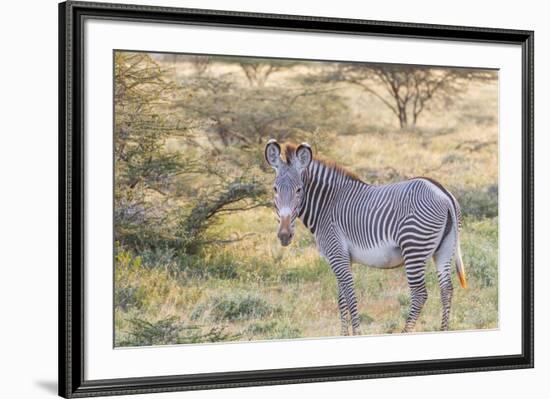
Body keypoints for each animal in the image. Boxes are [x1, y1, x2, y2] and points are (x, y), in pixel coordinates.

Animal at [266, 139, 468, 336]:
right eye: (275, 189)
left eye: (299, 190)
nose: (284, 235)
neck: (327, 205)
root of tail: (443, 194)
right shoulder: (344, 258)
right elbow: (342, 300)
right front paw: (344, 335)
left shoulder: (336, 254)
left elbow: (350, 296)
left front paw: (356, 334)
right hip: (444, 250)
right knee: (446, 289)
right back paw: (443, 330)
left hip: (414, 248)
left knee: (419, 294)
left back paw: (404, 332)